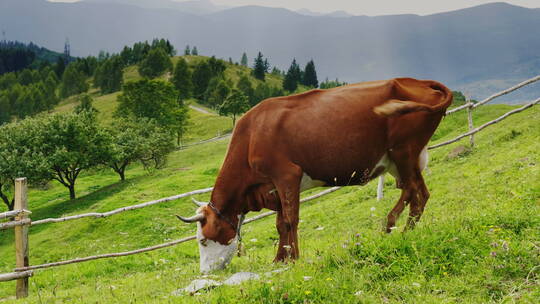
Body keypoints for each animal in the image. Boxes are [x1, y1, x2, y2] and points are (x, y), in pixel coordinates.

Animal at [177, 77, 452, 272]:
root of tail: (418, 81)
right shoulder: (275, 187)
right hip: (401, 158)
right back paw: (398, 229)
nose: (205, 273)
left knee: (417, 192)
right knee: (415, 191)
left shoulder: (287, 175)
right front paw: (279, 259)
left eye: (203, 241)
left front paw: (294, 259)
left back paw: (399, 231)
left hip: (404, 151)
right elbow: (280, 224)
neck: (252, 136)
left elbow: (290, 220)